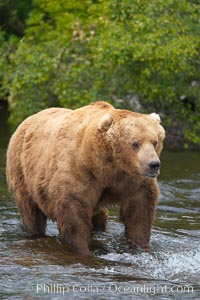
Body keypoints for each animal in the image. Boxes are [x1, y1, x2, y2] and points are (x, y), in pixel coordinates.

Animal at [7, 101, 165, 255]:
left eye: (154, 141)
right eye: (135, 143)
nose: (154, 164)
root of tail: (28, 119)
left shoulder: (132, 180)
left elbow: (139, 213)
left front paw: (141, 248)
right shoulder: (79, 173)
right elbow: (74, 215)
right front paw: (82, 249)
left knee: (100, 216)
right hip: (22, 171)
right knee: (31, 213)